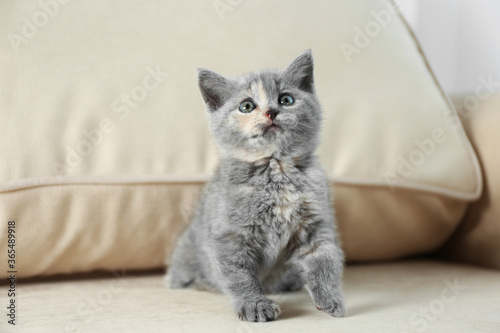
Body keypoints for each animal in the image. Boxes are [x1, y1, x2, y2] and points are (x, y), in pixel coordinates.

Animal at [166, 50, 346, 320]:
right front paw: (255, 304)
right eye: (247, 106)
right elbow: (239, 274)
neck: (276, 168)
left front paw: (330, 297)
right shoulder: (229, 235)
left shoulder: (316, 223)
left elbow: (324, 261)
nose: (271, 111)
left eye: (286, 99)